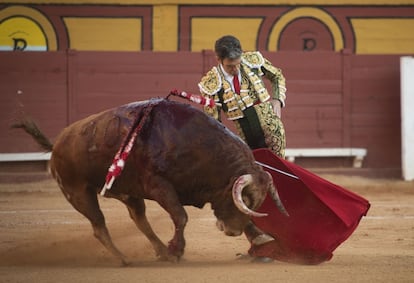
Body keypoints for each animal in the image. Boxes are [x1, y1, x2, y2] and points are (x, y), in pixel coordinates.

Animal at [12, 98, 284, 266]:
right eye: (246, 199)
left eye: (257, 202)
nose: (233, 231)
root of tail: (58, 143)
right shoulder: (159, 186)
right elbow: (180, 216)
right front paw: (177, 250)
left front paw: (260, 238)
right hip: (78, 192)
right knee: (99, 226)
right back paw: (125, 259)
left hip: (128, 194)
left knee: (139, 220)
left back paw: (160, 251)